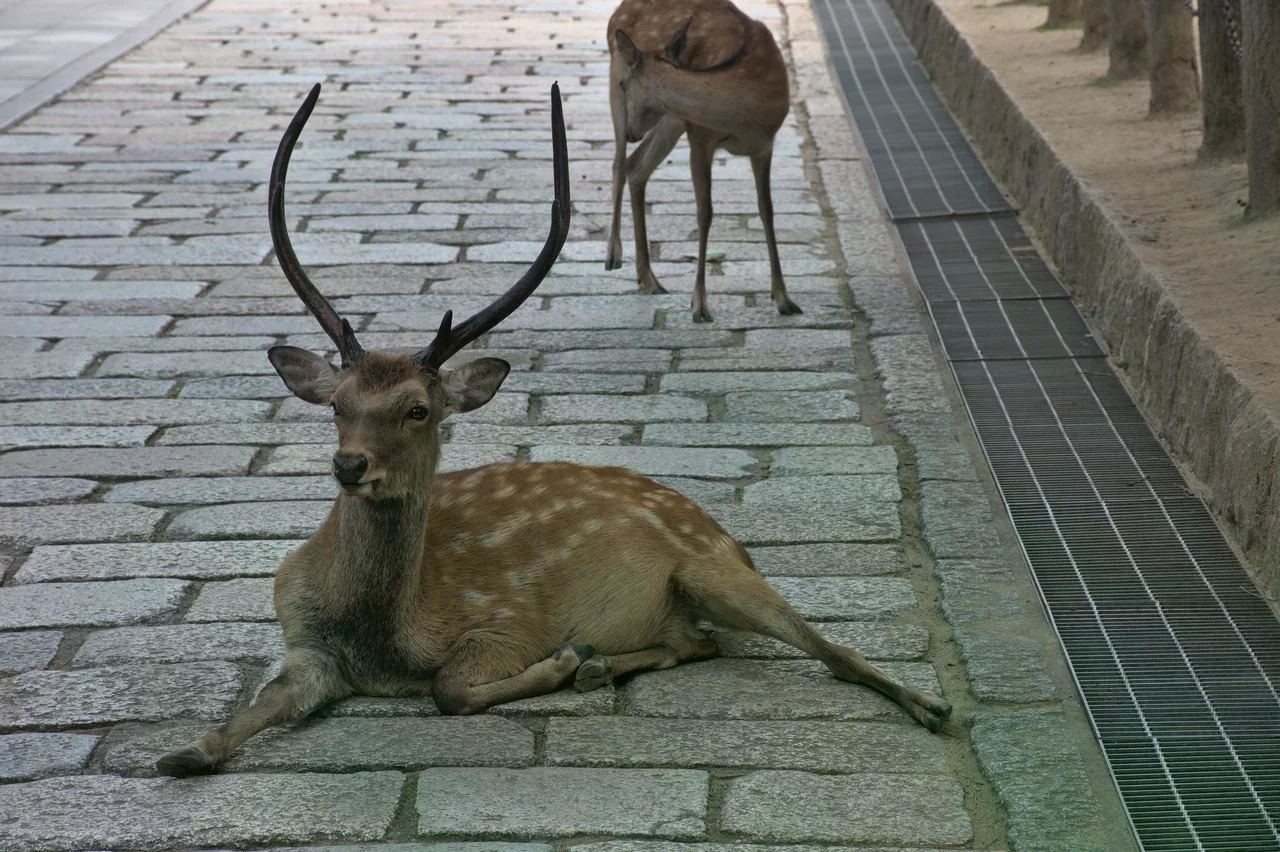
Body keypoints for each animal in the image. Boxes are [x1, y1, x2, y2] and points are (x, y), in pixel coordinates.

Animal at [155, 81, 951, 779]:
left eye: (418, 408)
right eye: (336, 404)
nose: (350, 466)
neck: (382, 636)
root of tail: (717, 524)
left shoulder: (505, 621)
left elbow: (449, 690)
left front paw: (561, 660)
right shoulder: (305, 640)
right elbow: (262, 703)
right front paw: (186, 750)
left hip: (713, 569)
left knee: (822, 647)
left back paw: (930, 705)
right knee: (700, 642)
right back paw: (604, 666)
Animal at [603, 0, 801, 324]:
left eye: (625, 84)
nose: (632, 131)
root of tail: (617, 11)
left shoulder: (765, 144)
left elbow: (767, 211)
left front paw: (784, 298)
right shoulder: (700, 138)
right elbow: (704, 213)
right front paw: (699, 305)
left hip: (670, 119)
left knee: (636, 166)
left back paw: (649, 278)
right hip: (625, 94)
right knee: (619, 163)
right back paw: (613, 256)